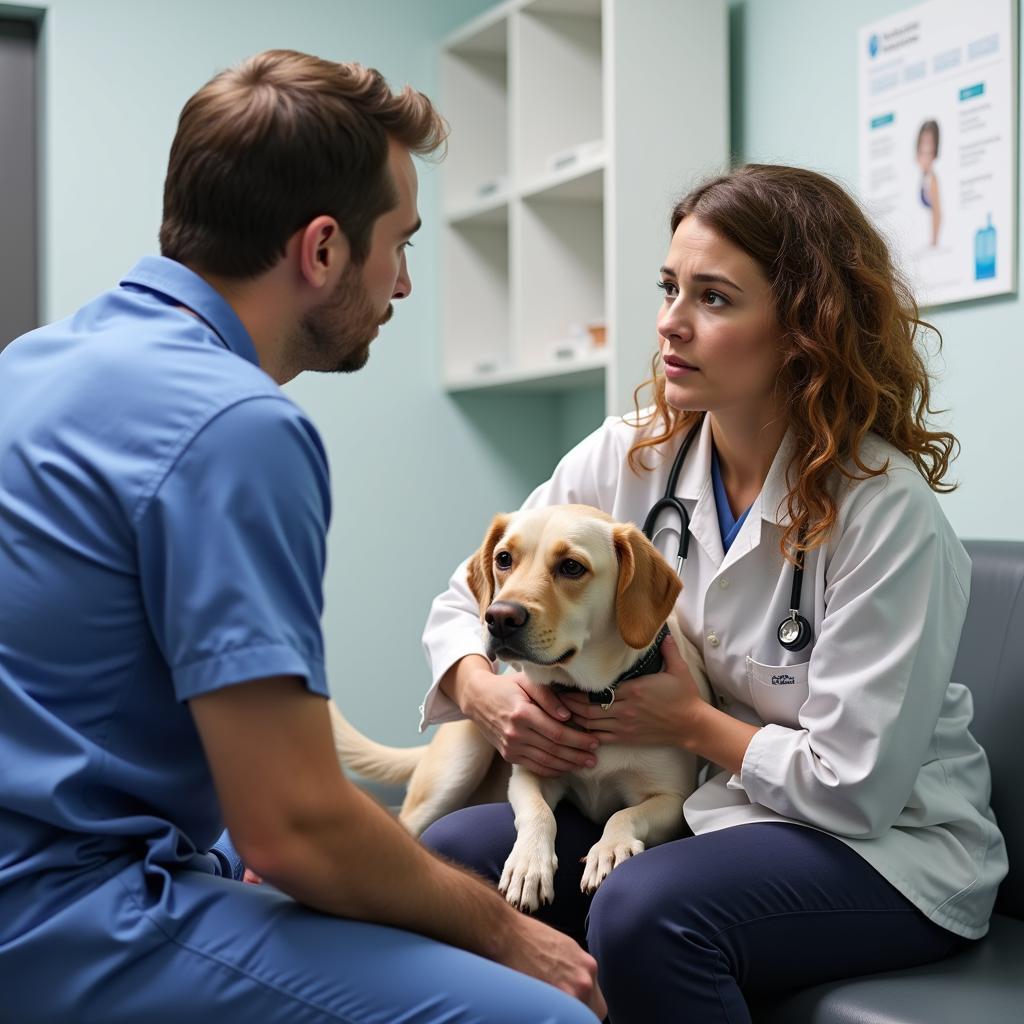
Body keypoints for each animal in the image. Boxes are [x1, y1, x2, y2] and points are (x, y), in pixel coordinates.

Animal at [331, 503, 708, 913]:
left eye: (571, 566)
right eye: (504, 559)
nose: (498, 617)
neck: (592, 691)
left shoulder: (672, 801)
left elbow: (625, 815)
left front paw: (610, 848)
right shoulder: (528, 774)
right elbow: (539, 814)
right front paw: (529, 865)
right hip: (458, 765)